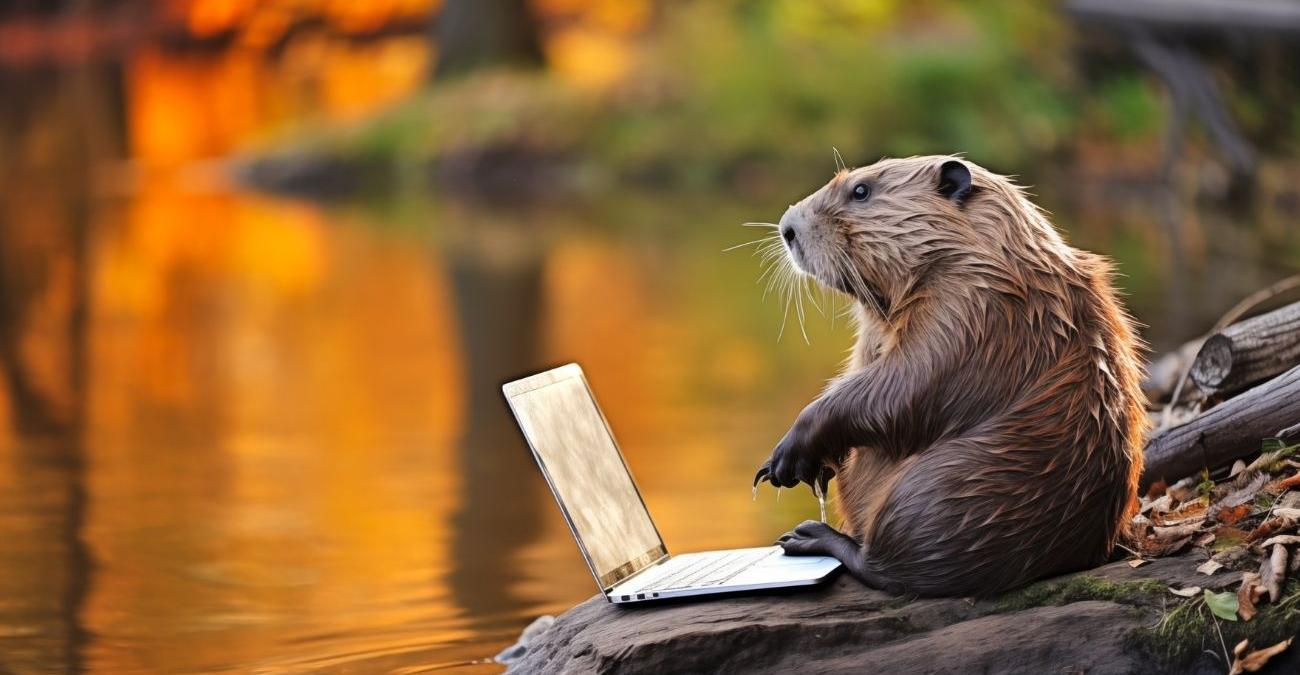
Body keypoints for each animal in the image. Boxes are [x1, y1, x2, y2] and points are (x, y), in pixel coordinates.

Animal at [754, 157, 1149, 598]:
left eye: (861, 191)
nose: (787, 227)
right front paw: (815, 466)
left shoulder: (971, 311)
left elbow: (903, 388)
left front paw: (785, 459)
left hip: (935, 492)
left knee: (886, 568)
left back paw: (808, 535)